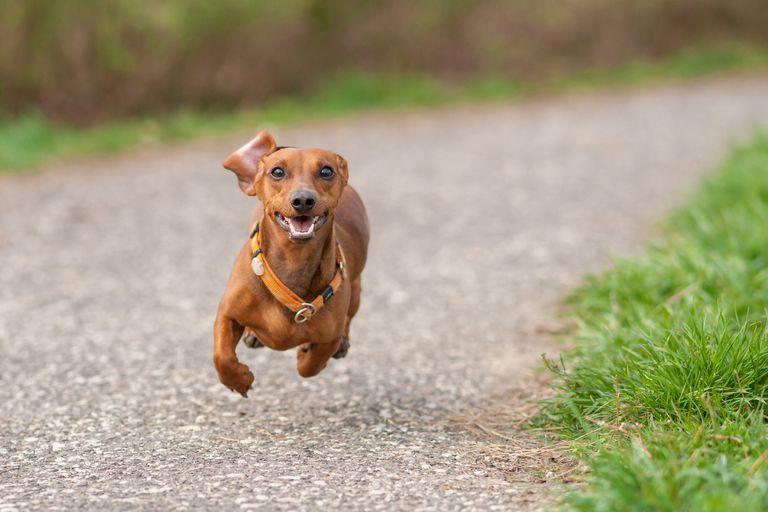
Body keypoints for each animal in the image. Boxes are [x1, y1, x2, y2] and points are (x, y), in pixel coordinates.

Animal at [213, 131, 368, 396]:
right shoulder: (227, 314)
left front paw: (306, 353)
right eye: (277, 171)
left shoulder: (329, 336)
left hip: (356, 291)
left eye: (326, 171)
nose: (303, 200)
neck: (293, 261)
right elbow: (221, 356)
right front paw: (238, 380)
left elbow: (310, 365)